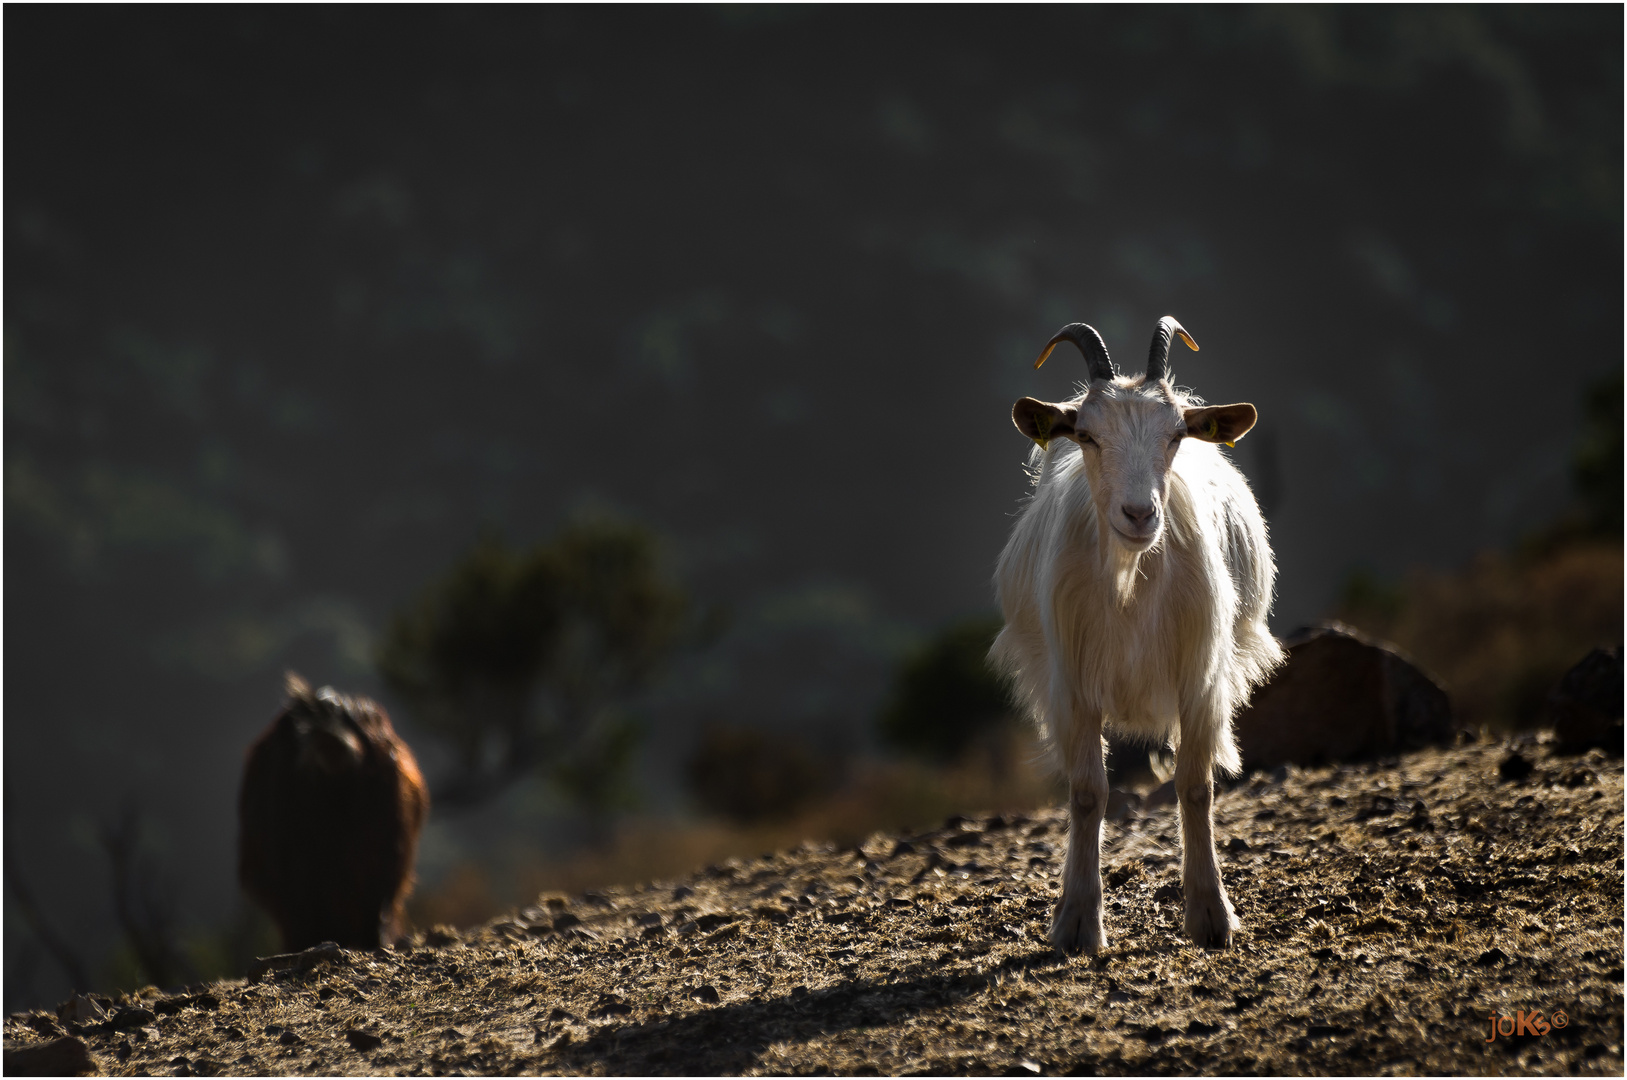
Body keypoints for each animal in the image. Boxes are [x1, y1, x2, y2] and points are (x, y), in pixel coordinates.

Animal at [989, 317, 1282, 949]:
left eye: (1176, 435)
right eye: (1087, 435)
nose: (1139, 514)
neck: (1132, 585)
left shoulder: (1201, 675)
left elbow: (1194, 787)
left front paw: (1211, 914)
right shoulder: (1073, 683)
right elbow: (1087, 793)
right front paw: (1077, 921)